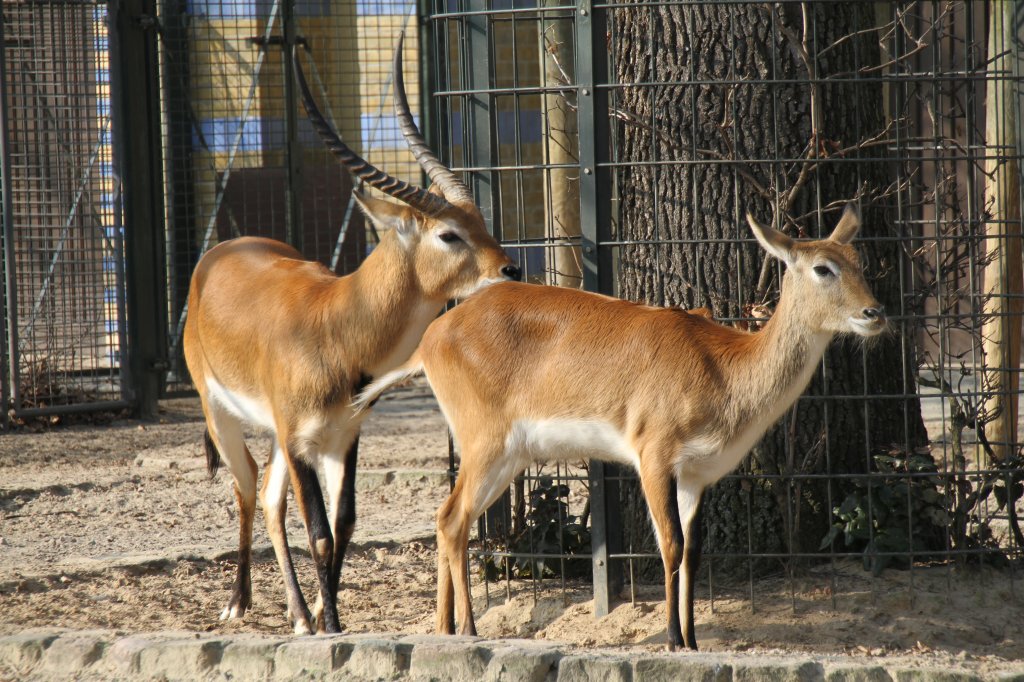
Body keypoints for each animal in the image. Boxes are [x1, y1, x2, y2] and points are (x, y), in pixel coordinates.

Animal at [181, 35, 520, 630]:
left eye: (480, 220)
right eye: (449, 234)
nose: (510, 269)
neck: (334, 324)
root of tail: (221, 252)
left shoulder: (342, 437)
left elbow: (345, 525)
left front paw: (322, 616)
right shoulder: (300, 441)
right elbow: (318, 533)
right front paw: (334, 626)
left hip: (278, 435)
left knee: (269, 499)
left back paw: (296, 613)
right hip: (220, 414)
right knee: (246, 489)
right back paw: (237, 602)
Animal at [358, 202, 888, 647]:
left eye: (860, 262)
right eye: (823, 267)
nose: (875, 313)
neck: (725, 367)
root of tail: (430, 337)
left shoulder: (696, 476)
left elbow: (693, 553)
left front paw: (692, 641)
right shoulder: (653, 457)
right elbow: (670, 546)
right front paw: (673, 640)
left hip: (509, 457)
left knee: (450, 518)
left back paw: (445, 629)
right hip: (485, 445)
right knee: (451, 519)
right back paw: (468, 631)